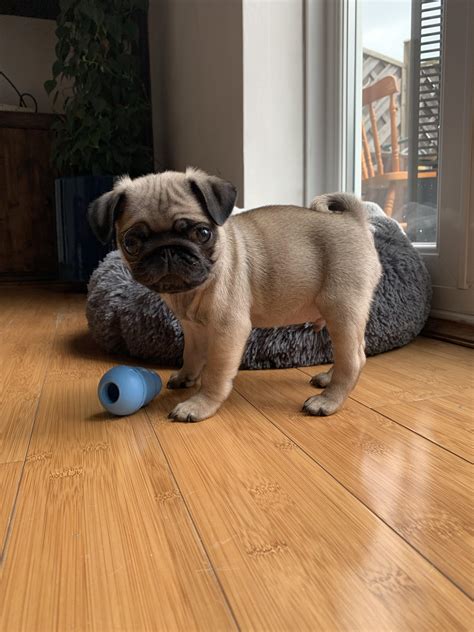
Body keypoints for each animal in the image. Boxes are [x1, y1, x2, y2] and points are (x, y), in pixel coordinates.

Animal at [89, 170, 384, 422]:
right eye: (131, 242)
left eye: (203, 233)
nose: (168, 250)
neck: (192, 290)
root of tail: (354, 219)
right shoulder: (193, 328)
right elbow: (191, 355)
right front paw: (186, 377)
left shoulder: (227, 330)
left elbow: (215, 373)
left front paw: (200, 405)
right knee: (352, 351)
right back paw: (328, 379)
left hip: (341, 309)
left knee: (354, 359)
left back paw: (328, 400)